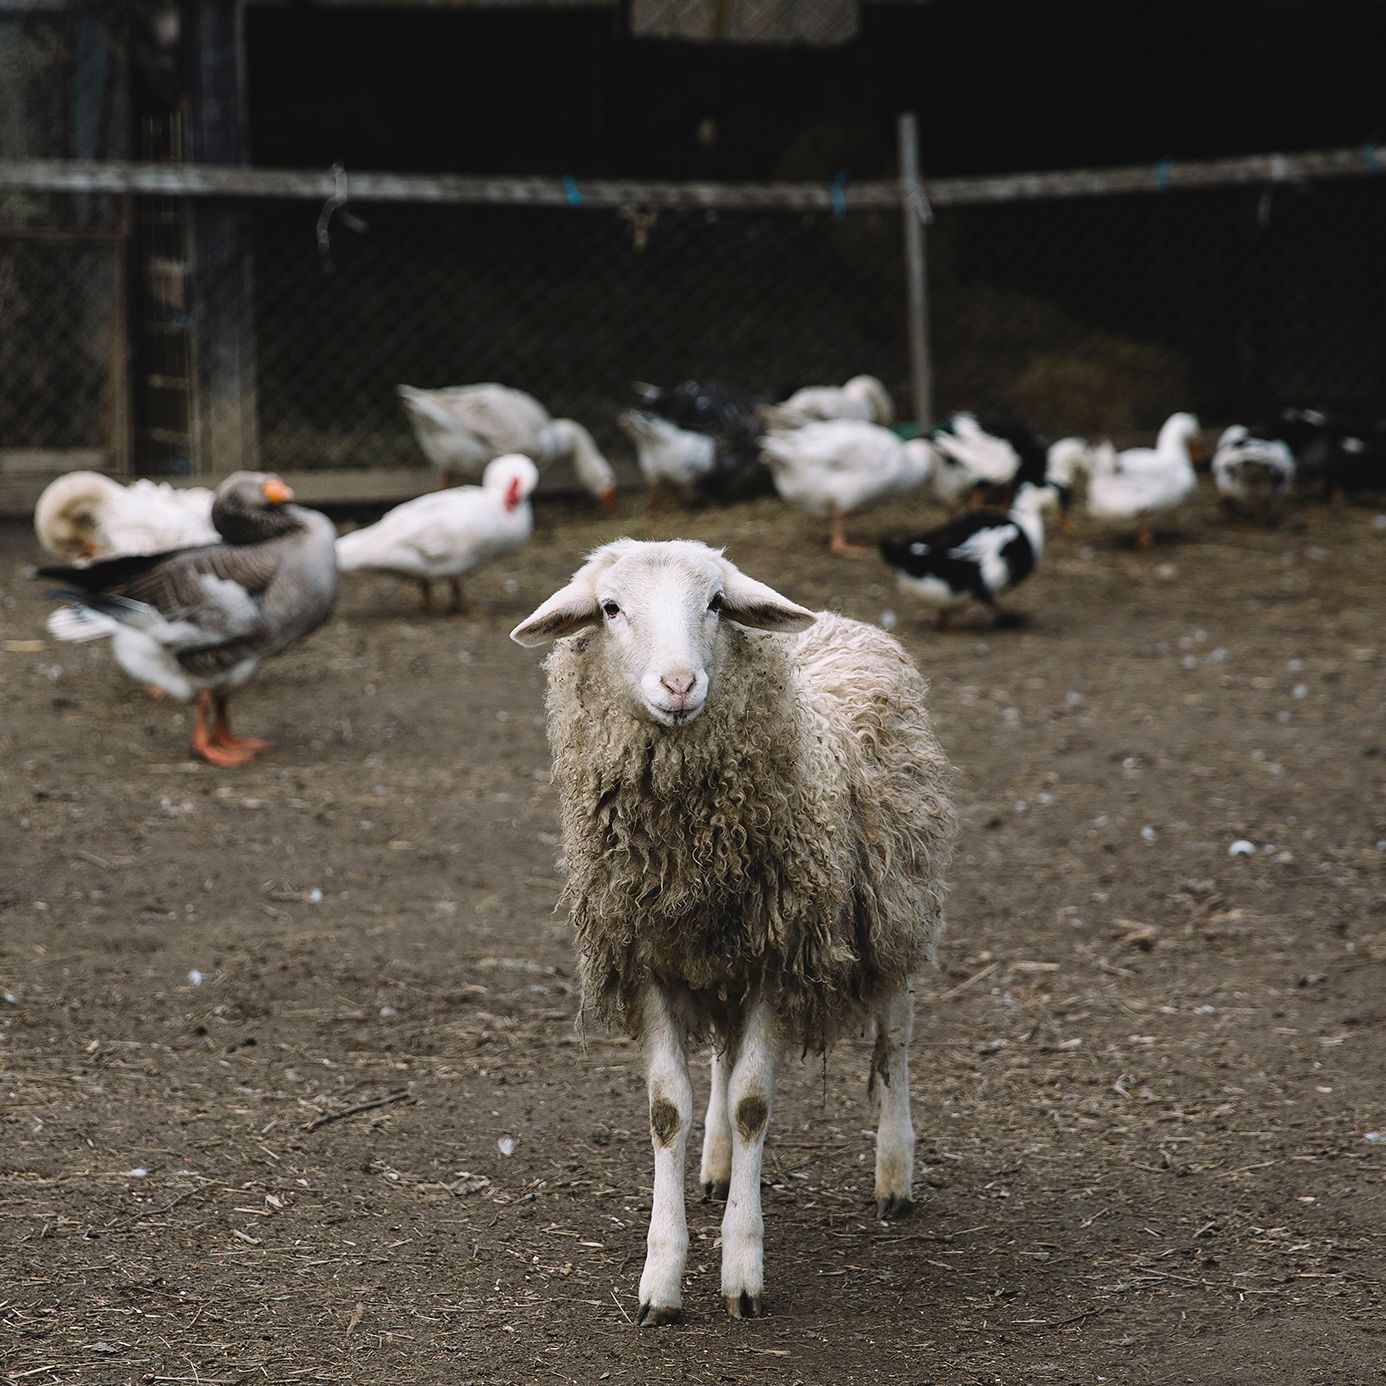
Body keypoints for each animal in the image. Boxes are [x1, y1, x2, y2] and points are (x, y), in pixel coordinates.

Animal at [510, 538, 956, 1325]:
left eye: (716, 603)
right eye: (610, 607)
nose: (679, 684)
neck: (691, 845)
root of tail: (835, 619)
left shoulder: (779, 957)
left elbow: (753, 1104)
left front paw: (742, 1269)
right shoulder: (652, 959)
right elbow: (667, 1111)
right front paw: (661, 1279)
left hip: (899, 910)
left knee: (895, 1043)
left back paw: (894, 1174)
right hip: (718, 957)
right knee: (720, 1056)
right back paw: (714, 1167)